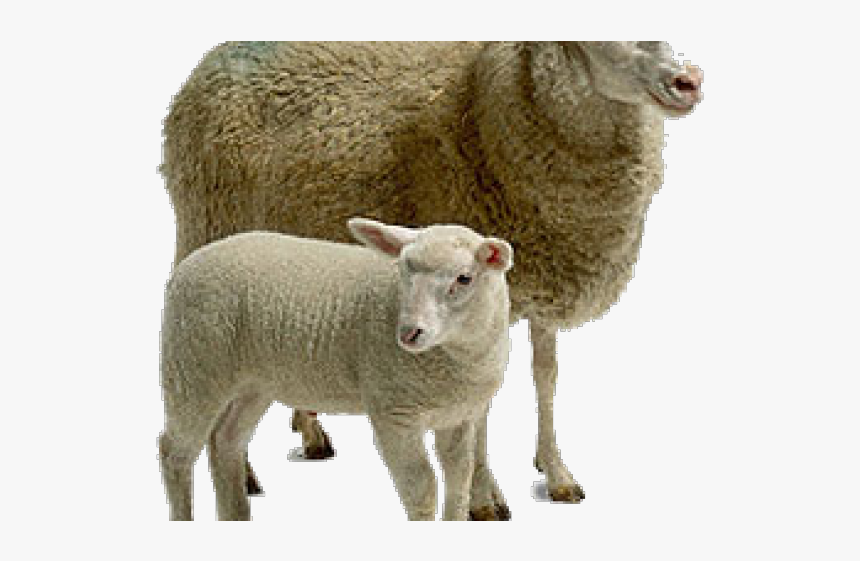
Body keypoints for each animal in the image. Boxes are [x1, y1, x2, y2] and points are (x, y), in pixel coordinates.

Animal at [157, 218, 514, 521]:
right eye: (402, 271)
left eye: (464, 278)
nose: (408, 333)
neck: (456, 359)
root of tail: (189, 262)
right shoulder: (394, 412)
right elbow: (422, 489)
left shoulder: (460, 414)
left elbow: (459, 480)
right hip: (195, 365)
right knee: (174, 453)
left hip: (252, 385)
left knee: (226, 442)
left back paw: (236, 516)